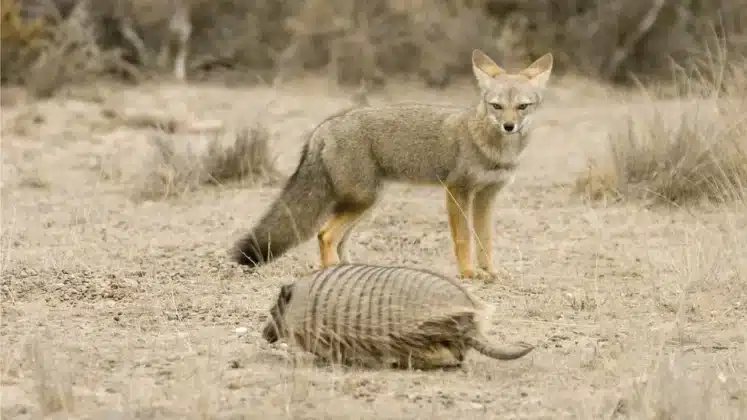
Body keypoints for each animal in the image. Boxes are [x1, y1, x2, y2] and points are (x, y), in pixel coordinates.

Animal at [231, 49, 553, 279]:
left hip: (366, 202)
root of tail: (324, 127)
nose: (509, 126)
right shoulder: (457, 191)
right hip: (363, 200)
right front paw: (468, 273)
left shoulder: (487, 196)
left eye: (522, 107)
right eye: (496, 106)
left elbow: (485, 239)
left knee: (338, 239)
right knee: (325, 234)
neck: (496, 149)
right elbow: (463, 238)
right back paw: (333, 272)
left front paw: (490, 272)